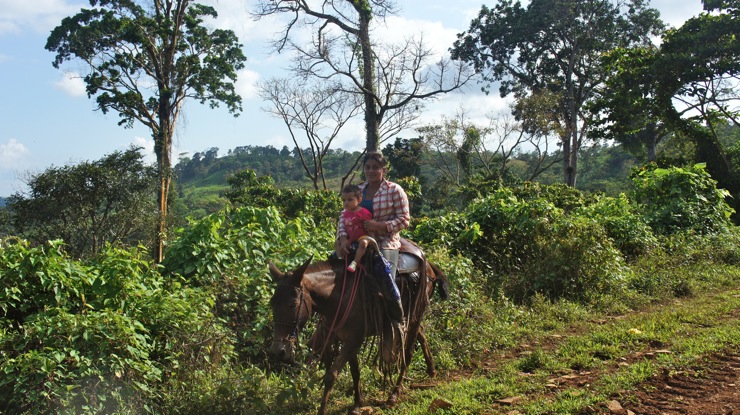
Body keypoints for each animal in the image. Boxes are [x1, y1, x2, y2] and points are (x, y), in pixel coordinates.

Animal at [268, 248, 449, 415]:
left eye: (293, 304)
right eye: (272, 304)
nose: (278, 351)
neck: (338, 295)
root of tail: (428, 265)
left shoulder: (354, 339)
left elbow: (331, 375)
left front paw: (323, 409)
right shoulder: (346, 338)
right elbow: (354, 371)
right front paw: (357, 402)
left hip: (415, 314)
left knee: (408, 353)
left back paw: (394, 395)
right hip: (412, 317)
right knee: (421, 334)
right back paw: (431, 369)